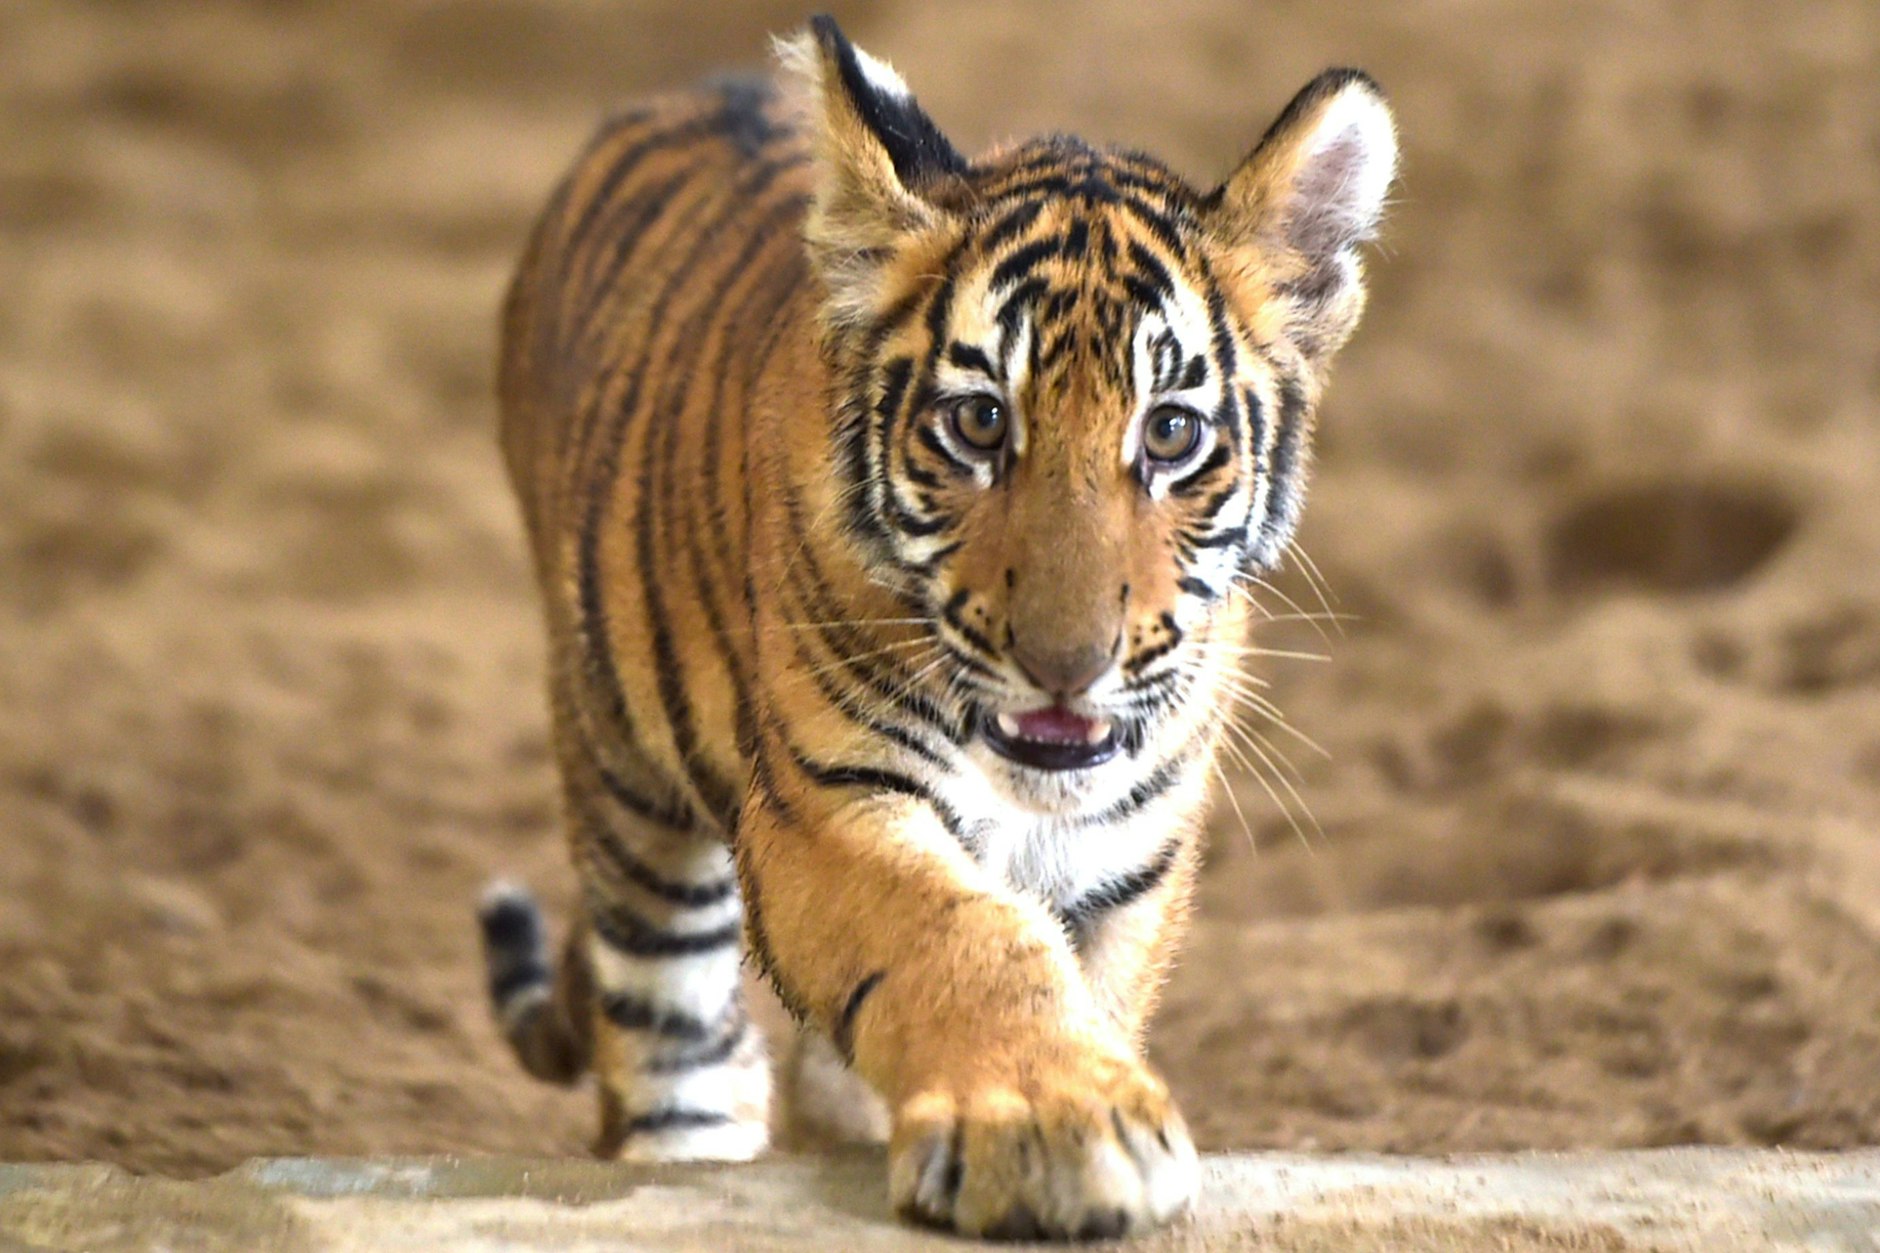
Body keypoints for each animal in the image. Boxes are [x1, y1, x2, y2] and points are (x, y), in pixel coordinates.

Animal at [476, 14, 1395, 1240]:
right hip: (627, 794)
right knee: (672, 1046)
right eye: (979, 422)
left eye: (1169, 433)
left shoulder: (1129, 856)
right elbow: (961, 934)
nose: (1067, 665)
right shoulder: (825, 804)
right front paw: (1055, 1122)